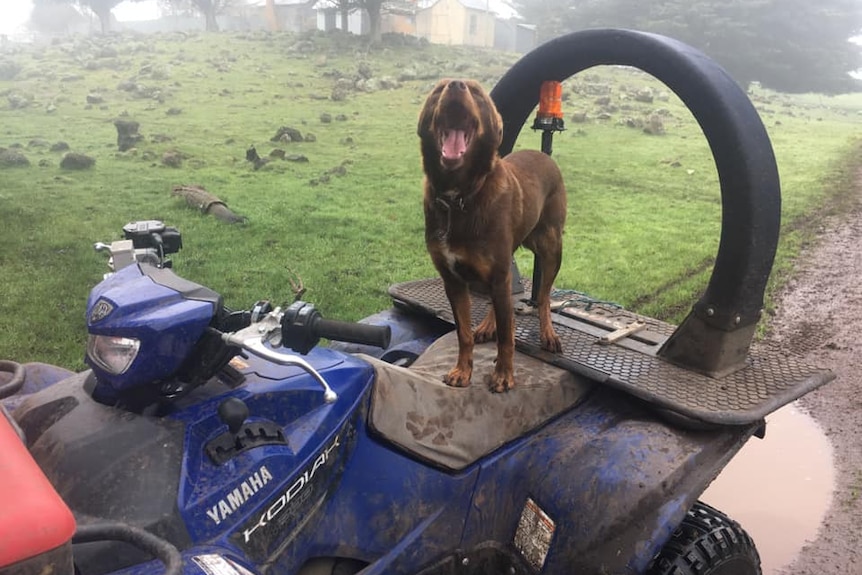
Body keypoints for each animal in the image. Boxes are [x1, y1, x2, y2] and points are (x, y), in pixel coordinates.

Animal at [420, 77, 572, 392]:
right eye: (438, 89)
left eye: (477, 92)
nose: (455, 85)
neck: (459, 196)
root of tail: (544, 155)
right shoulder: (453, 281)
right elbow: (463, 333)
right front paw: (462, 371)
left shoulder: (499, 272)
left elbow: (506, 336)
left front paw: (504, 375)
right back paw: (488, 324)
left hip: (551, 247)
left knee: (544, 296)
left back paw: (548, 333)